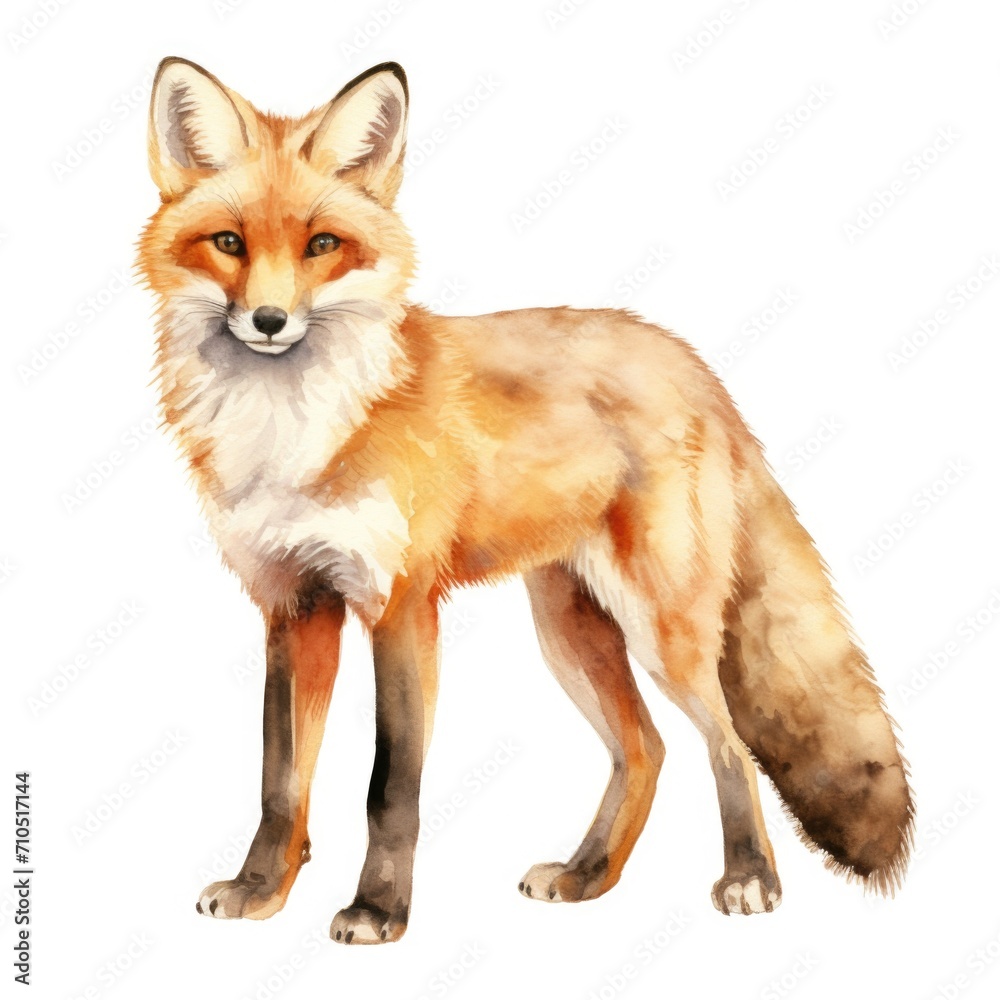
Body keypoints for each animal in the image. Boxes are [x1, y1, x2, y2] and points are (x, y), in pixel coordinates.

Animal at [137, 57, 913, 944]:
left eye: (322, 245)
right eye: (229, 243)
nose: (269, 320)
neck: (293, 436)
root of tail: (691, 362)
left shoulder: (400, 605)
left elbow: (389, 785)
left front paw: (378, 910)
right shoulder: (294, 605)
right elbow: (280, 780)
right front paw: (261, 889)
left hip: (663, 630)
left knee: (728, 745)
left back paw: (750, 877)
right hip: (570, 631)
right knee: (646, 749)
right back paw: (588, 877)